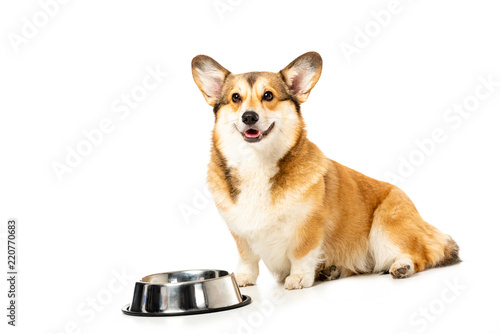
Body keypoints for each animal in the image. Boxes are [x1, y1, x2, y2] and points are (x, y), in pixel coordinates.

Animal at [191, 52, 460, 290]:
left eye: (268, 95)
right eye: (236, 98)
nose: (249, 117)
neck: (257, 163)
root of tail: (423, 222)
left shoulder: (308, 226)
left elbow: (301, 254)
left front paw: (299, 277)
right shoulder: (240, 233)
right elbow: (247, 257)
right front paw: (244, 278)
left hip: (386, 226)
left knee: (421, 255)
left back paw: (402, 266)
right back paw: (333, 270)